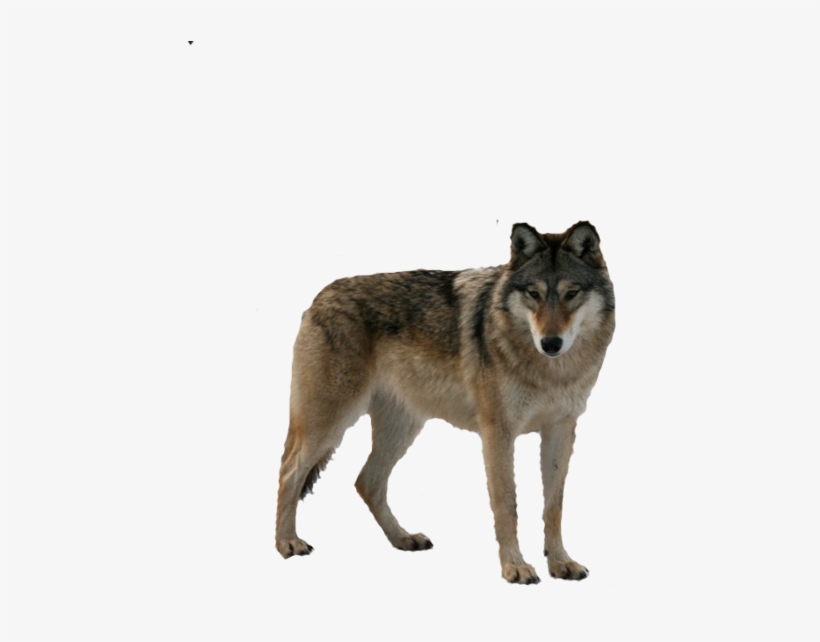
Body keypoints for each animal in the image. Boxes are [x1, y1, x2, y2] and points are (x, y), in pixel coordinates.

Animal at [276, 221, 615, 584]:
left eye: (571, 293)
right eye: (533, 294)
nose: (551, 343)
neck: (551, 372)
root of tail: (318, 298)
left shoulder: (561, 431)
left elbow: (554, 506)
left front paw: (561, 562)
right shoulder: (497, 433)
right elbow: (507, 504)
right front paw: (514, 567)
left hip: (402, 429)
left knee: (367, 481)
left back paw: (403, 538)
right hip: (328, 425)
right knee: (289, 471)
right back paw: (287, 543)